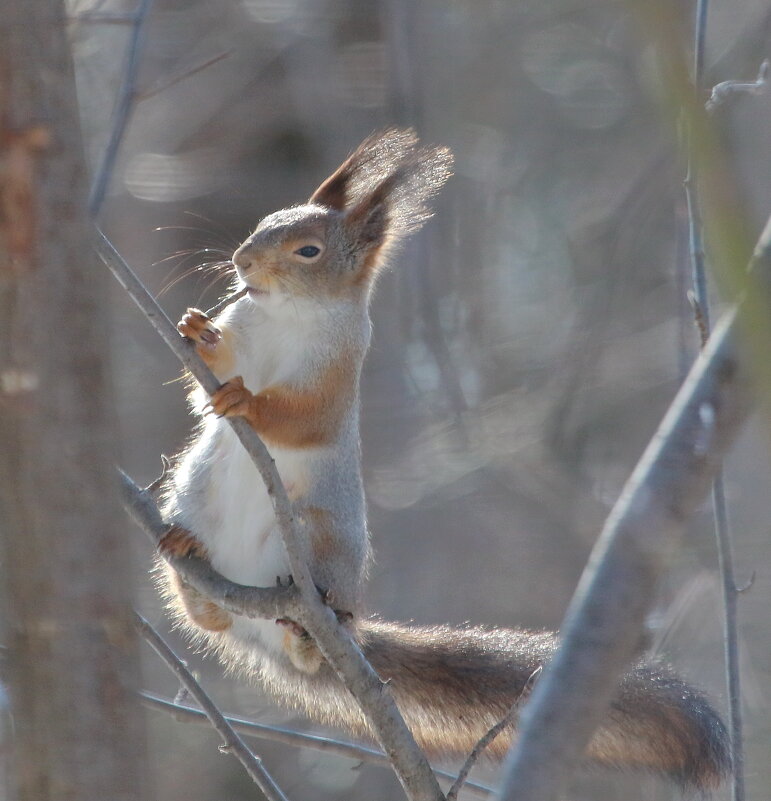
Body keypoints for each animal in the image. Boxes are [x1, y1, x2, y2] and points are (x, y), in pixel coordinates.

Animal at [158, 128, 728, 792]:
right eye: (265, 222)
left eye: (308, 250)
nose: (242, 262)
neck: (286, 312)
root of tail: (257, 611)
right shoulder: (245, 325)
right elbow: (211, 377)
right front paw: (197, 331)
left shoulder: (338, 373)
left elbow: (303, 418)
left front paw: (247, 399)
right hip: (195, 492)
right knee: (208, 619)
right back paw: (187, 560)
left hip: (322, 543)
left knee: (313, 626)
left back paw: (306, 638)